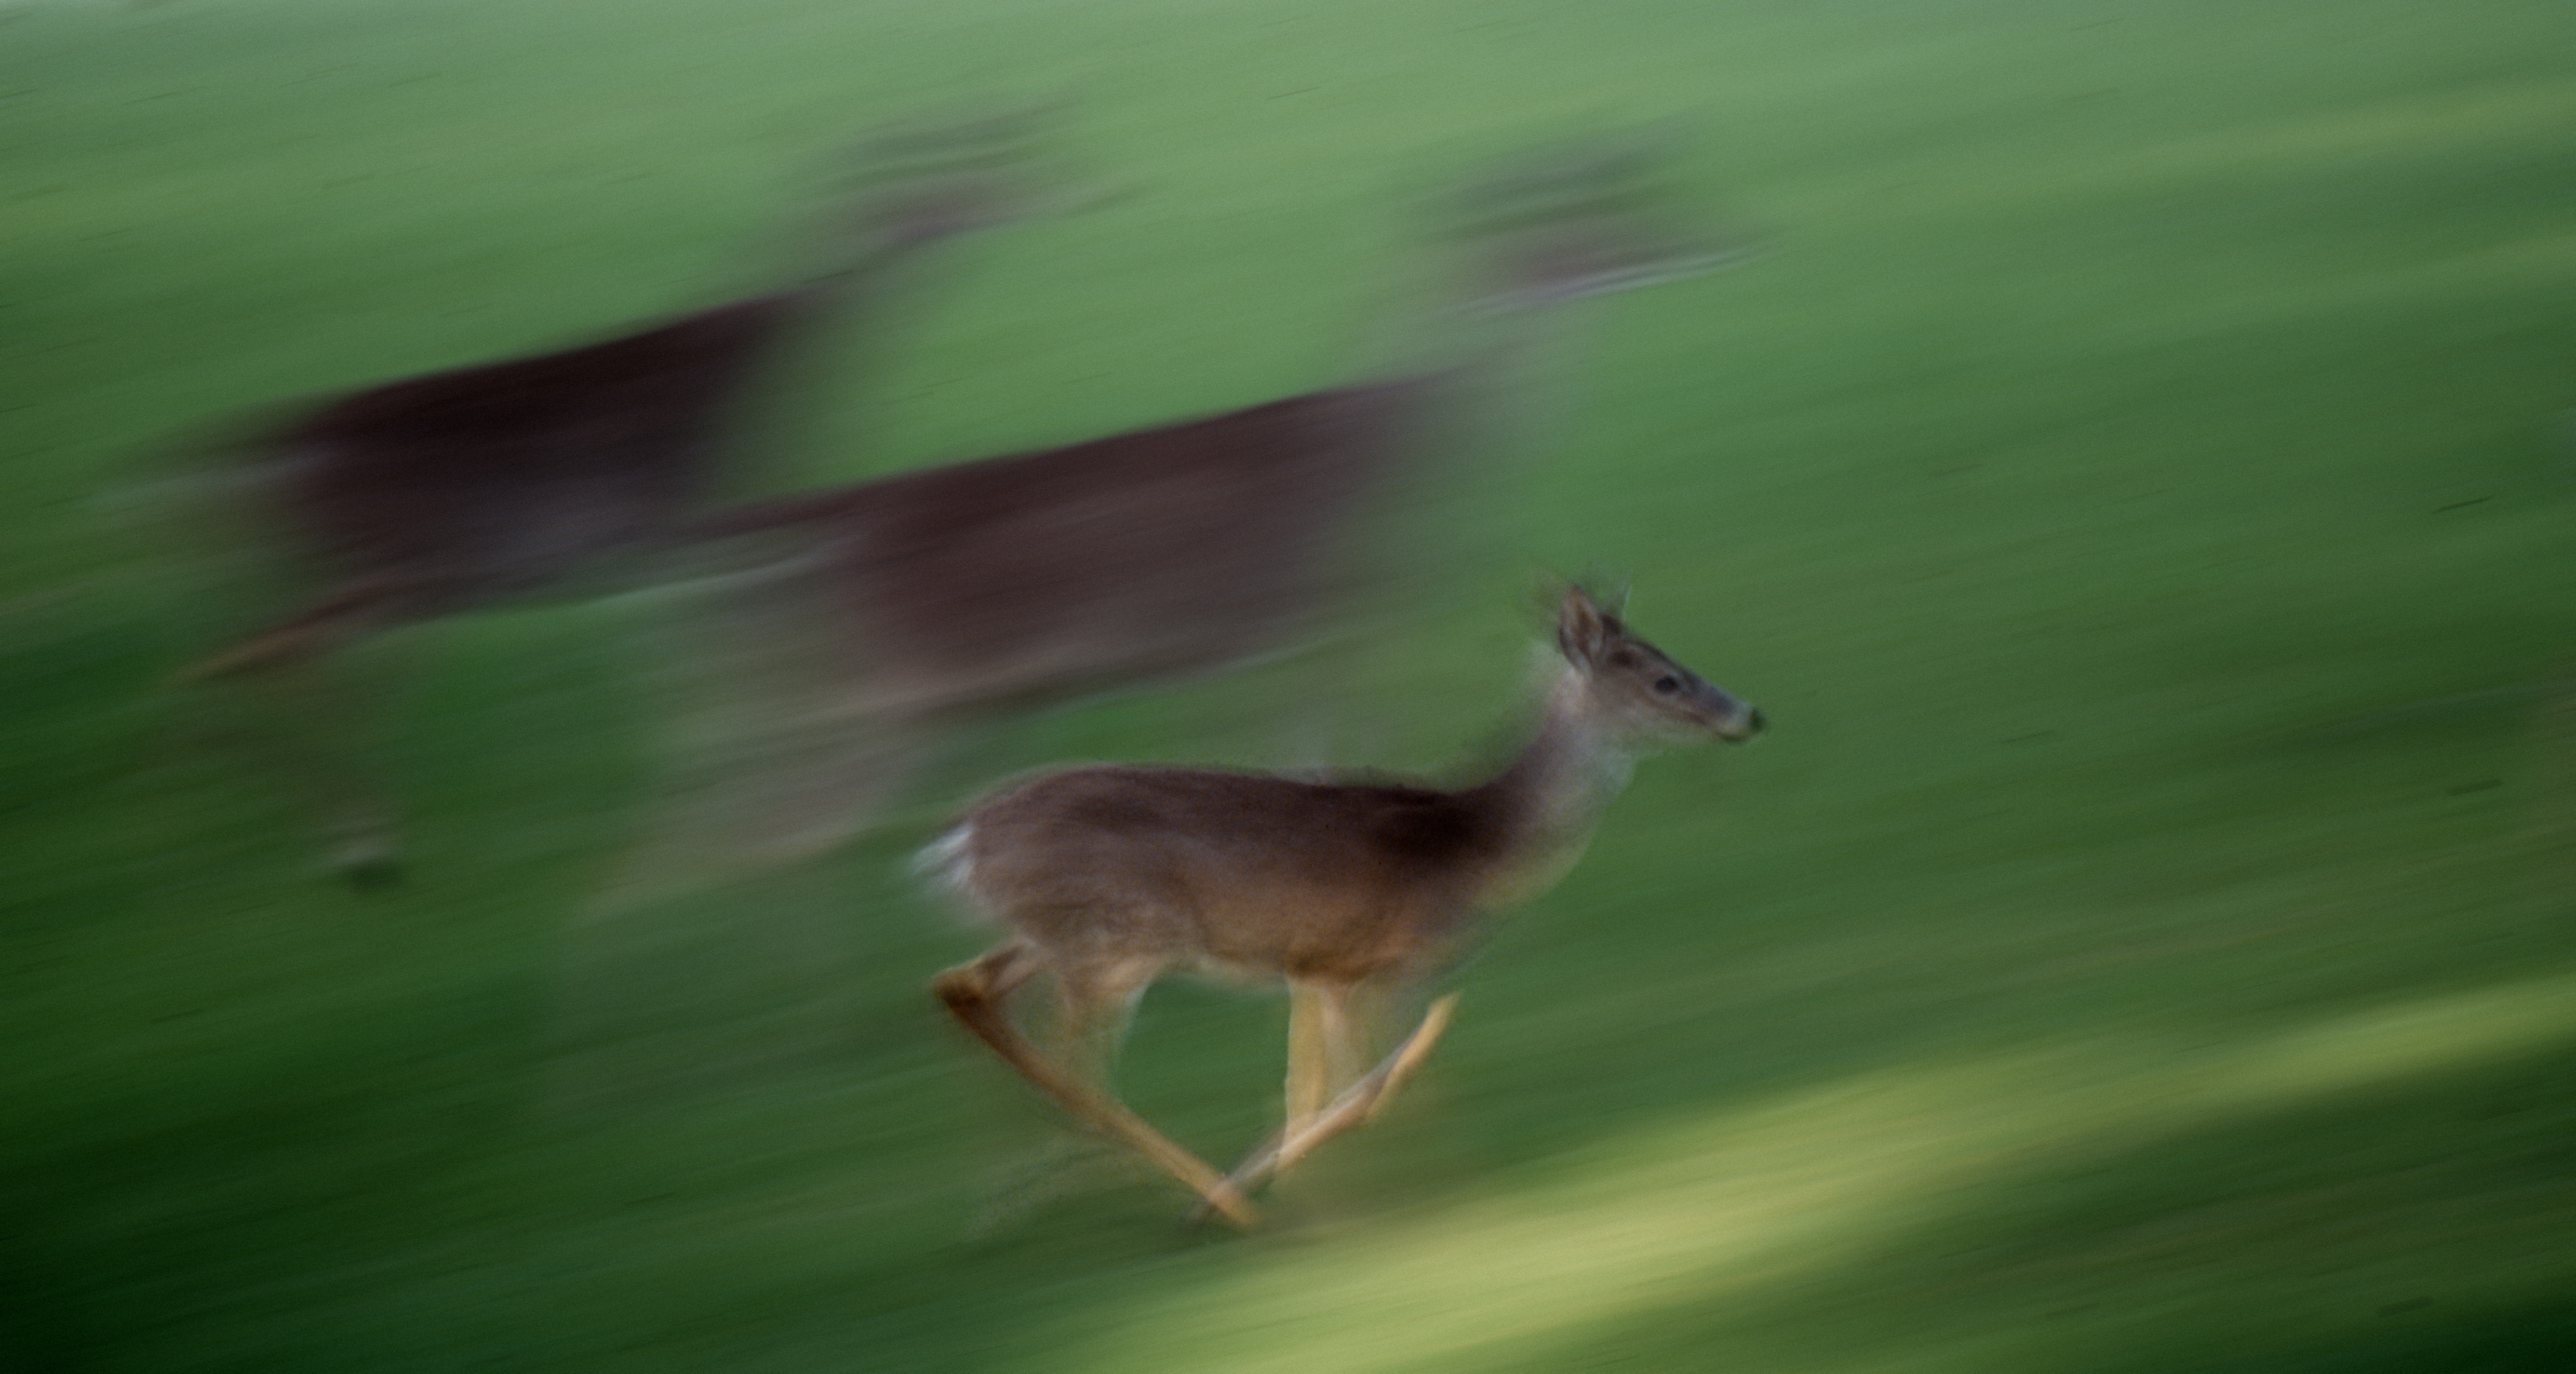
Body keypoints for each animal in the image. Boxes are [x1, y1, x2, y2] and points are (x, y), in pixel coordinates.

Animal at [630, 135, 1751, 890]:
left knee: (721, 813)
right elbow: (1318, 768)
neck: (1398, 463)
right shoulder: (1321, 619)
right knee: (733, 835)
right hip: (897, 687)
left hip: (850, 694)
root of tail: (820, 524)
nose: (1715, 240)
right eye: (1591, 242)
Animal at [918, 585, 1764, 1228]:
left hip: (1054, 939)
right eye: (1665, 680)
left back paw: (1007, 1202)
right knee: (1079, 1074)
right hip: (1119, 940)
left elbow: (1313, 1083)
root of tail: (961, 840)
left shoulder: (1317, 968)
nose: (1751, 714)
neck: (1472, 846)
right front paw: (1442, 1195)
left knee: (966, 989)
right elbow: (1375, 1081)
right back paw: (1219, 1205)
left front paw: (1301, 1182)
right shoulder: (1384, 966)